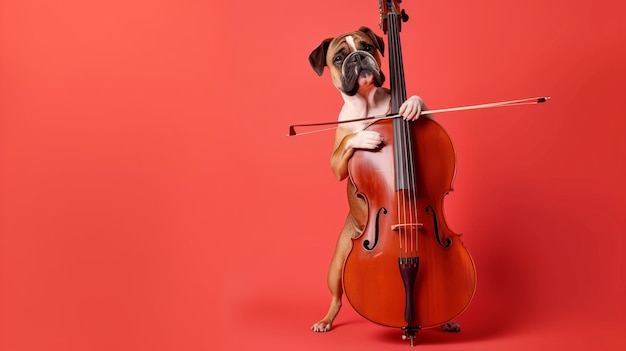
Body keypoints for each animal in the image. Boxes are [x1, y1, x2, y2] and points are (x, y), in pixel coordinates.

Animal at [308, 27, 458, 336]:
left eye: (367, 47)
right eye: (339, 57)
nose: (357, 57)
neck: (366, 105)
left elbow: (422, 106)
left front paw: (411, 103)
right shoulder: (335, 164)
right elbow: (349, 142)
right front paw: (365, 137)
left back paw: (446, 320)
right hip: (336, 266)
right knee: (336, 297)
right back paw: (326, 320)